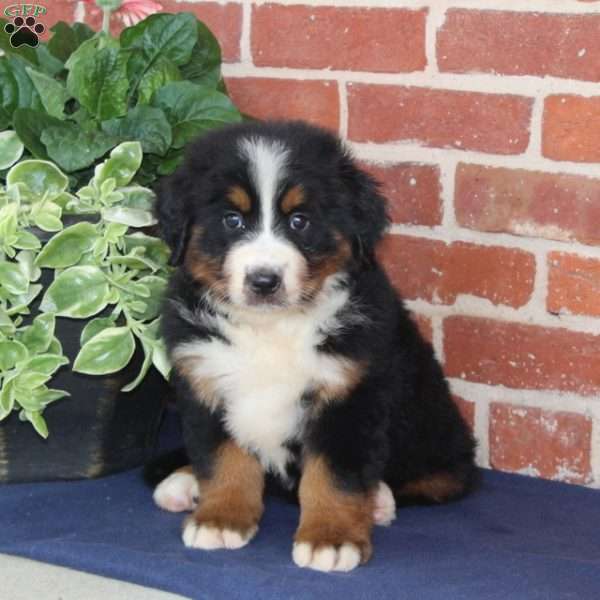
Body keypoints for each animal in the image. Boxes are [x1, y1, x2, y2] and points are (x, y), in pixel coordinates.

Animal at [148, 120, 476, 572]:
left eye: (300, 221)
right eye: (232, 220)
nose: (264, 280)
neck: (271, 328)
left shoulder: (349, 394)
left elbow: (334, 477)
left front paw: (331, 539)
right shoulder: (204, 382)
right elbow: (222, 459)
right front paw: (220, 519)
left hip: (434, 429)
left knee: (435, 478)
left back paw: (380, 501)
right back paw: (182, 483)